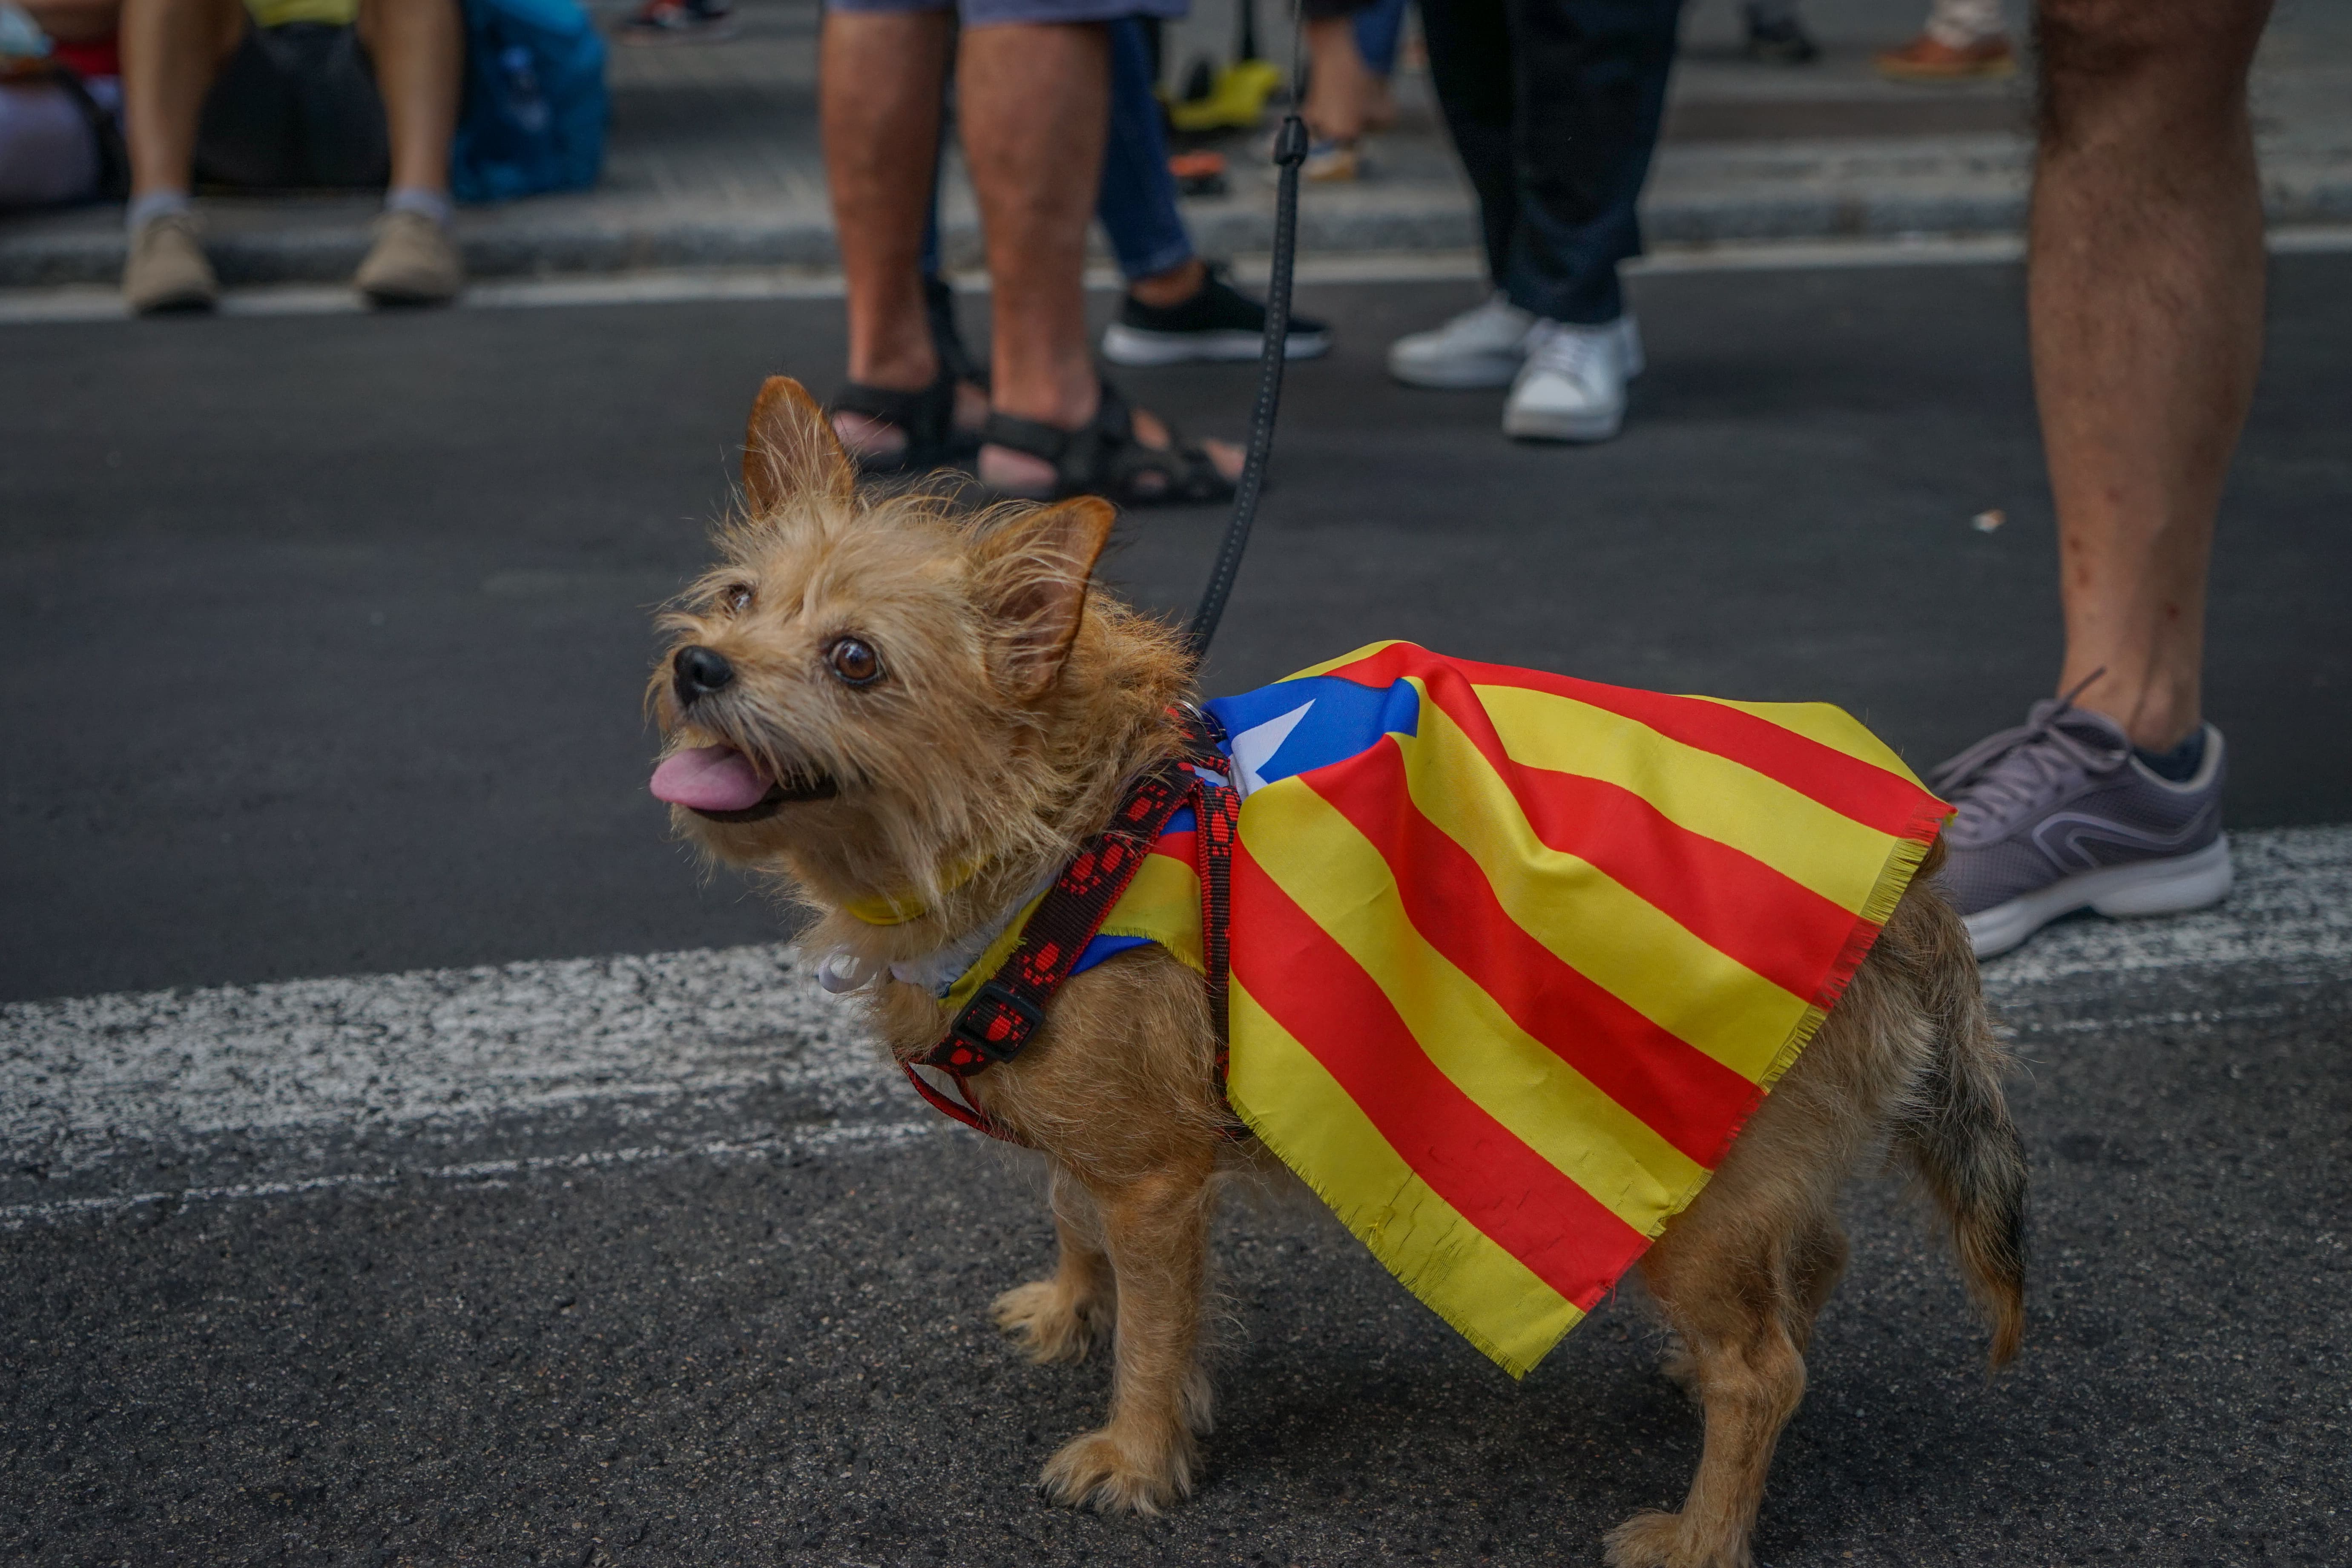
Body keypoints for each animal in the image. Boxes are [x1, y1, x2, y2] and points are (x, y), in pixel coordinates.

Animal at [654, 381, 2032, 1568]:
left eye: (855, 661)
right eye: (735, 597)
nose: (697, 667)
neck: (1066, 828)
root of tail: (1919, 876)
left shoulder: (1157, 1181)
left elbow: (1155, 1332)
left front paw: (1138, 1457)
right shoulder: (1098, 1135)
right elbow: (1066, 1208)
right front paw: (1067, 1310)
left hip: (1697, 1196)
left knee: (1769, 1372)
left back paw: (1700, 1534)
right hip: (1751, 1182)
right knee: (1812, 1272)